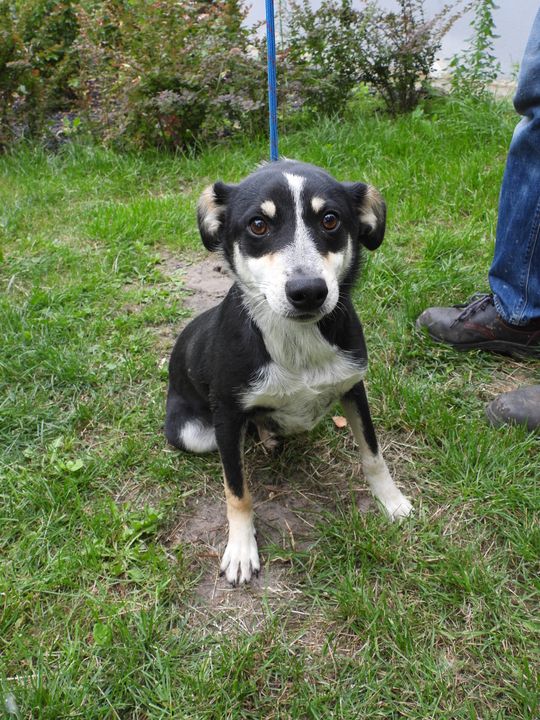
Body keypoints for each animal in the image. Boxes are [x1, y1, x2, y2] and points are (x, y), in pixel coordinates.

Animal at [165, 160, 412, 585]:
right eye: (258, 225)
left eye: (330, 219)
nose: (308, 291)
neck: (298, 341)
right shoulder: (227, 415)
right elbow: (237, 490)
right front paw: (241, 550)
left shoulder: (354, 387)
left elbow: (373, 454)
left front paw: (392, 502)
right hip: (194, 433)